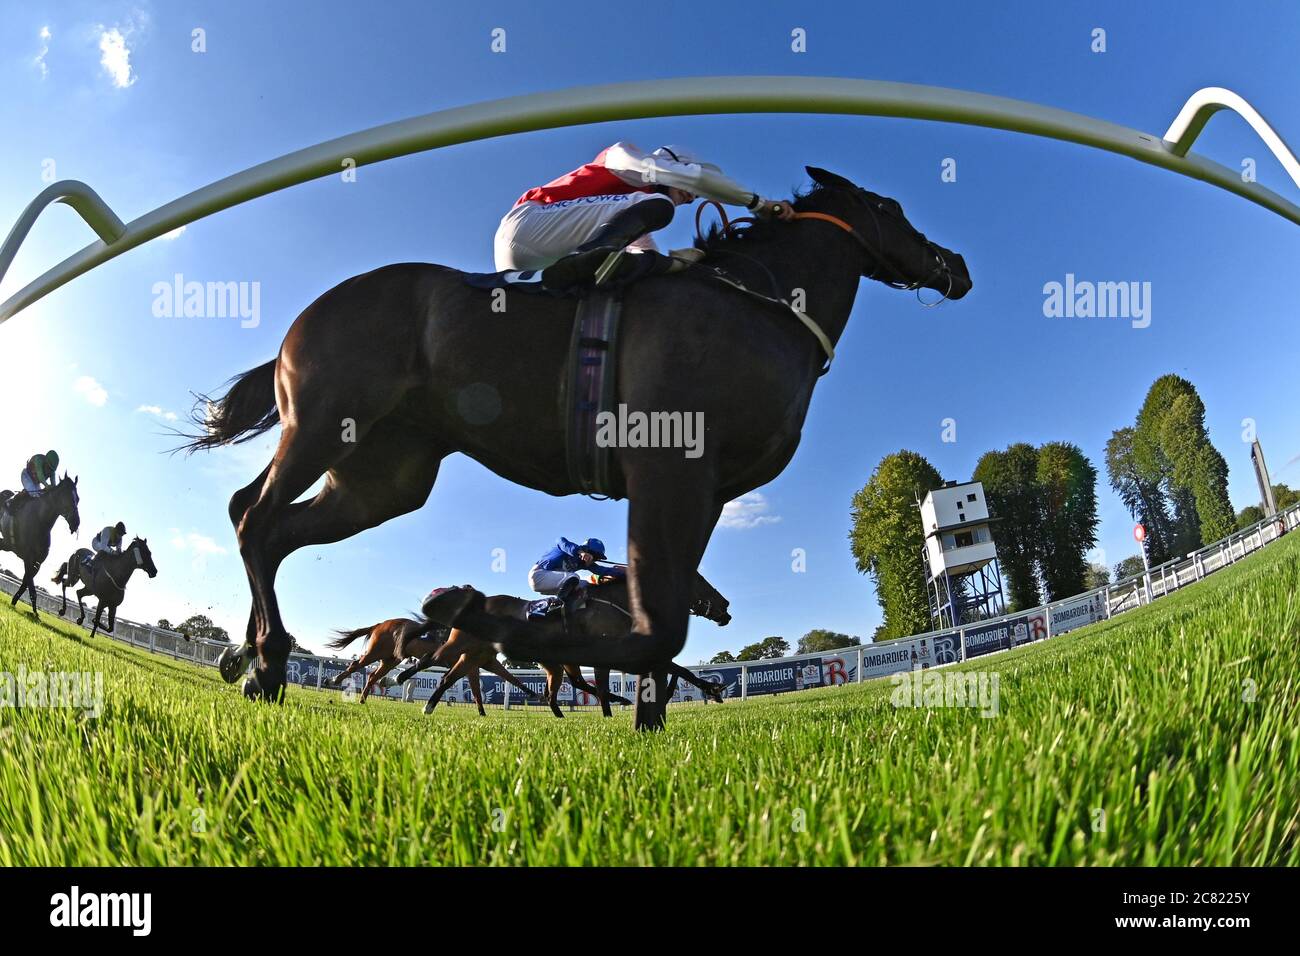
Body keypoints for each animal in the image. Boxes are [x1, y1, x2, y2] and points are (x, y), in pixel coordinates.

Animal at [0, 478, 80, 621]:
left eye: (78, 498)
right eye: (67, 497)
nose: (76, 522)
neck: (40, 521)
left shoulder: (38, 563)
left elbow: (25, 584)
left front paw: (14, 602)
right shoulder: (28, 558)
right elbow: (31, 588)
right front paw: (36, 614)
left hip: (7, 545)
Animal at [188, 167, 972, 728]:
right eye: (892, 206)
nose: (956, 264)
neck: (757, 300)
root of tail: (302, 320)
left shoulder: (706, 491)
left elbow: (666, 619)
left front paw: (647, 713)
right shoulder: (667, 467)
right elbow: (655, 629)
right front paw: (500, 629)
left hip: (382, 478)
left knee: (269, 527)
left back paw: (253, 661)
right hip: (324, 424)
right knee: (255, 517)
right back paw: (267, 659)